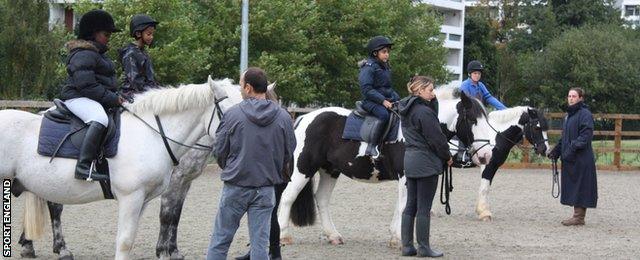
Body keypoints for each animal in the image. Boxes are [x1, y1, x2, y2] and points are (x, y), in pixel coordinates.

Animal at [0, 76, 240, 258]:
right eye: (229, 111)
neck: (153, 134)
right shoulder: (132, 196)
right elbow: (131, 238)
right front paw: (166, 251)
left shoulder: (148, 198)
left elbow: (163, 221)